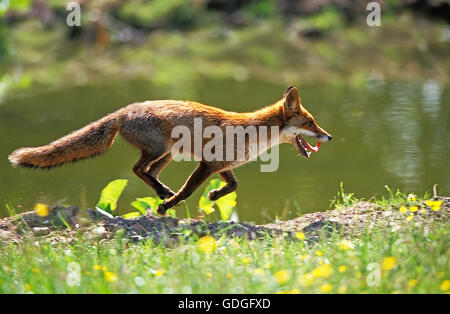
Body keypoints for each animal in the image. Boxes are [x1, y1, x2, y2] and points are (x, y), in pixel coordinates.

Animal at [7, 85, 330, 213]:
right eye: (311, 123)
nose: (328, 136)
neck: (253, 135)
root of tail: (124, 110)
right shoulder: (208, 164)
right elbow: (187, 192)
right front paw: (167, 208)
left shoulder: (221, 166)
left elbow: (233, 187)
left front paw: (213, 195)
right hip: (161, 149)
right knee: (137, 169)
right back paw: (163, 195)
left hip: (169, 154)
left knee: (146, 171)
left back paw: (162, 190)